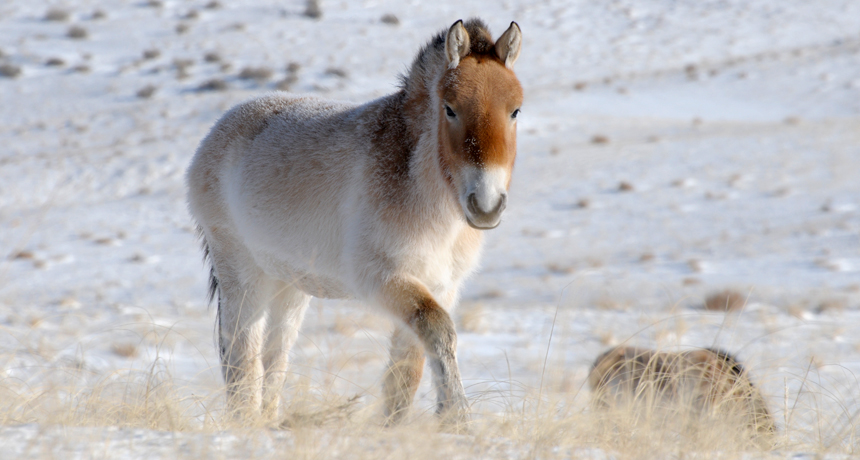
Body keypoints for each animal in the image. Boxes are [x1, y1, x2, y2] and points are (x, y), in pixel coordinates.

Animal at [186, 18, 524, 428]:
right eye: (450, 109)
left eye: (515, 111)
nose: (486, 205)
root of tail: (217, 133)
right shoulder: (385, 279)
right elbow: (438, 330)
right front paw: (455, 416)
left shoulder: (440, 285)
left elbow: (407, 368)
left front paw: (397, 428)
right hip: (242, 274)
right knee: (241, 354)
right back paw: (247, 423)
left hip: (289, 286)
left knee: (275, 356)